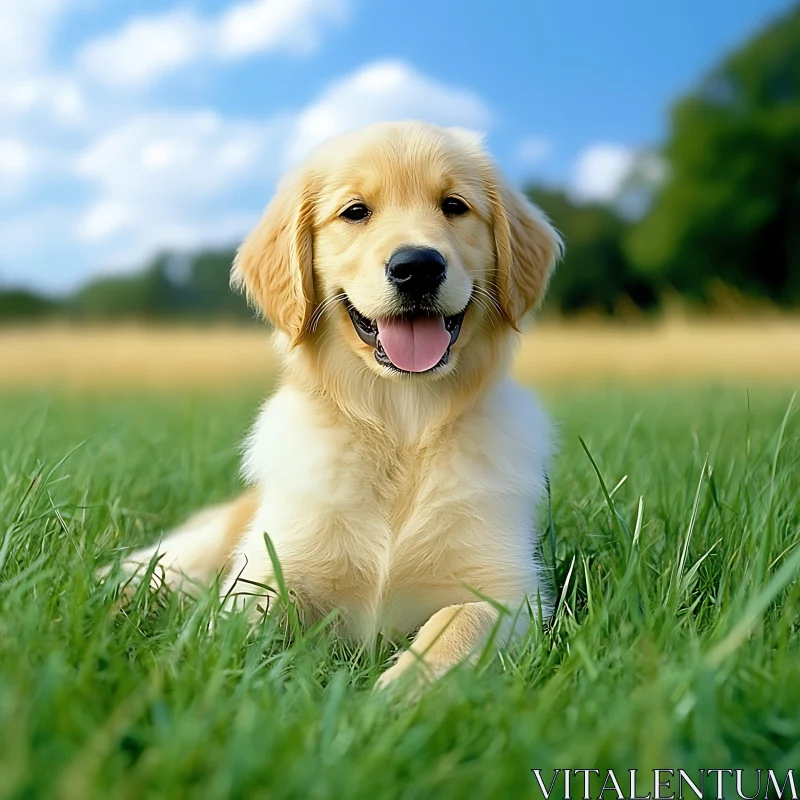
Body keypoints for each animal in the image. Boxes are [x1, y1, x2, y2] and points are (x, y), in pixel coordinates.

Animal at [109, 122, 564, 692]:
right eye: (355, 211)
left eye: (455, 206)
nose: (418, 267)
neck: (402, 423)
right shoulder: (269, 568)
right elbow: (238, 627)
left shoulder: (508, 592)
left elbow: (458, 627)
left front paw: (396, 696)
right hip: (204, 546)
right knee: (151, 570)